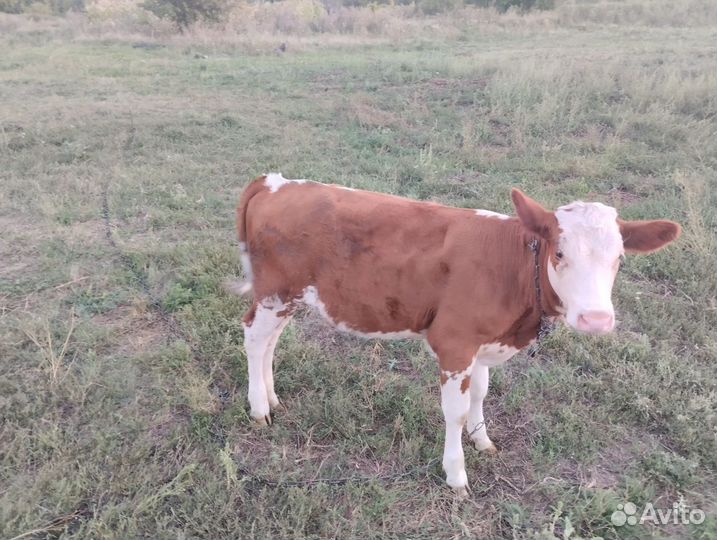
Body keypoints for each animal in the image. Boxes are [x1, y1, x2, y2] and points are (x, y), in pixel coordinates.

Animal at [235, 173, 680, 495]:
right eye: (559, 253)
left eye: (619, 259)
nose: (596, 319)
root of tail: (275, 182)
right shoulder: (454, 342)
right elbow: (456, 410)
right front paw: (457, 475)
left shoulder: (483, 341)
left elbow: (481, 393)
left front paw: (483, 441)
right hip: (274, 293)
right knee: (254, 339)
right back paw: (259, 408)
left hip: (289, 298)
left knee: (271, 342)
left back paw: (272, 397)